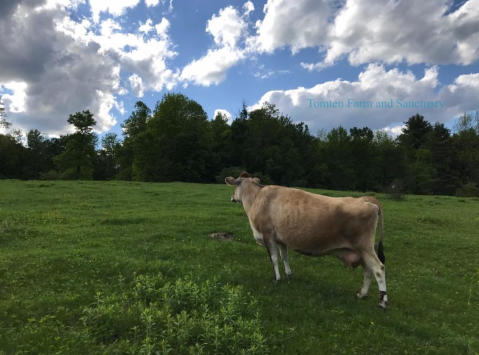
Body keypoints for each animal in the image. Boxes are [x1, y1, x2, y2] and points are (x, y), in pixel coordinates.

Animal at [226, 172, 390, 308]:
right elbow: (284, 257)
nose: (232, 197)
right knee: (368, 270)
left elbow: (274, 259)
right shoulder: (281, 239)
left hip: (364, 247)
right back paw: (362, 294)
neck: (257, 197)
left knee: (378, 268)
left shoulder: (268, 235)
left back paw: (382, 301)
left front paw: (277, 278)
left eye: (235, 186)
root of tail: (365, 199)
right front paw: (288, 274)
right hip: (362, 251)